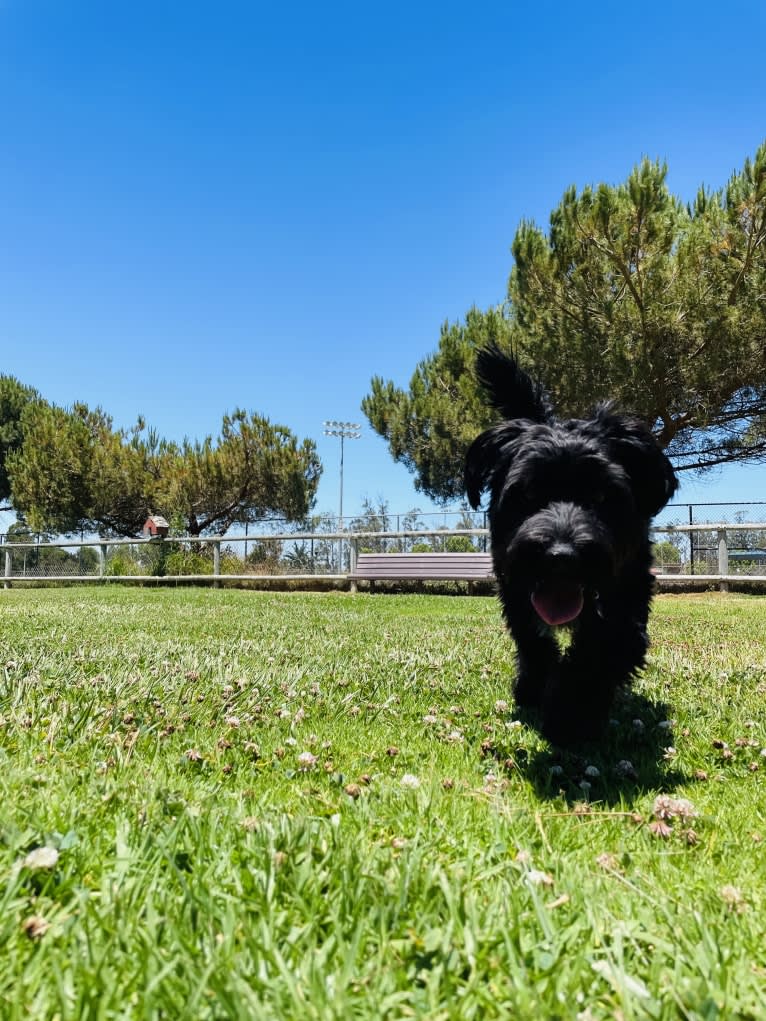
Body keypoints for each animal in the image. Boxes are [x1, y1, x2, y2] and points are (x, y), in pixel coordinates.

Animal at [467, 343, 678, 743]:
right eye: (528, 493)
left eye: (601, 495)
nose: (561, 557)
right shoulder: (514, 588)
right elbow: (532, 641)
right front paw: (536, 690)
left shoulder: (628, 592)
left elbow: (602, 651)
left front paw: (570, 716)